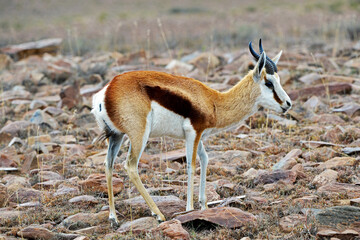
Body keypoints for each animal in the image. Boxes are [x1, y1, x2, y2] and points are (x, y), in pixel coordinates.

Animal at [91, 39, 292, 225]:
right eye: (269, 82)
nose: (288, 104)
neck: (214, 102)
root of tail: (107, 91)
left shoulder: (200, 136)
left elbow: (205, 160)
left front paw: (204, 206)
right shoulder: (192, 132)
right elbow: (191, 166)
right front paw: (189, 209)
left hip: (116, 135)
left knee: (108, 164)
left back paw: (113, 217)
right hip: (139, 136)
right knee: (130, 166)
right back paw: (158, 214)